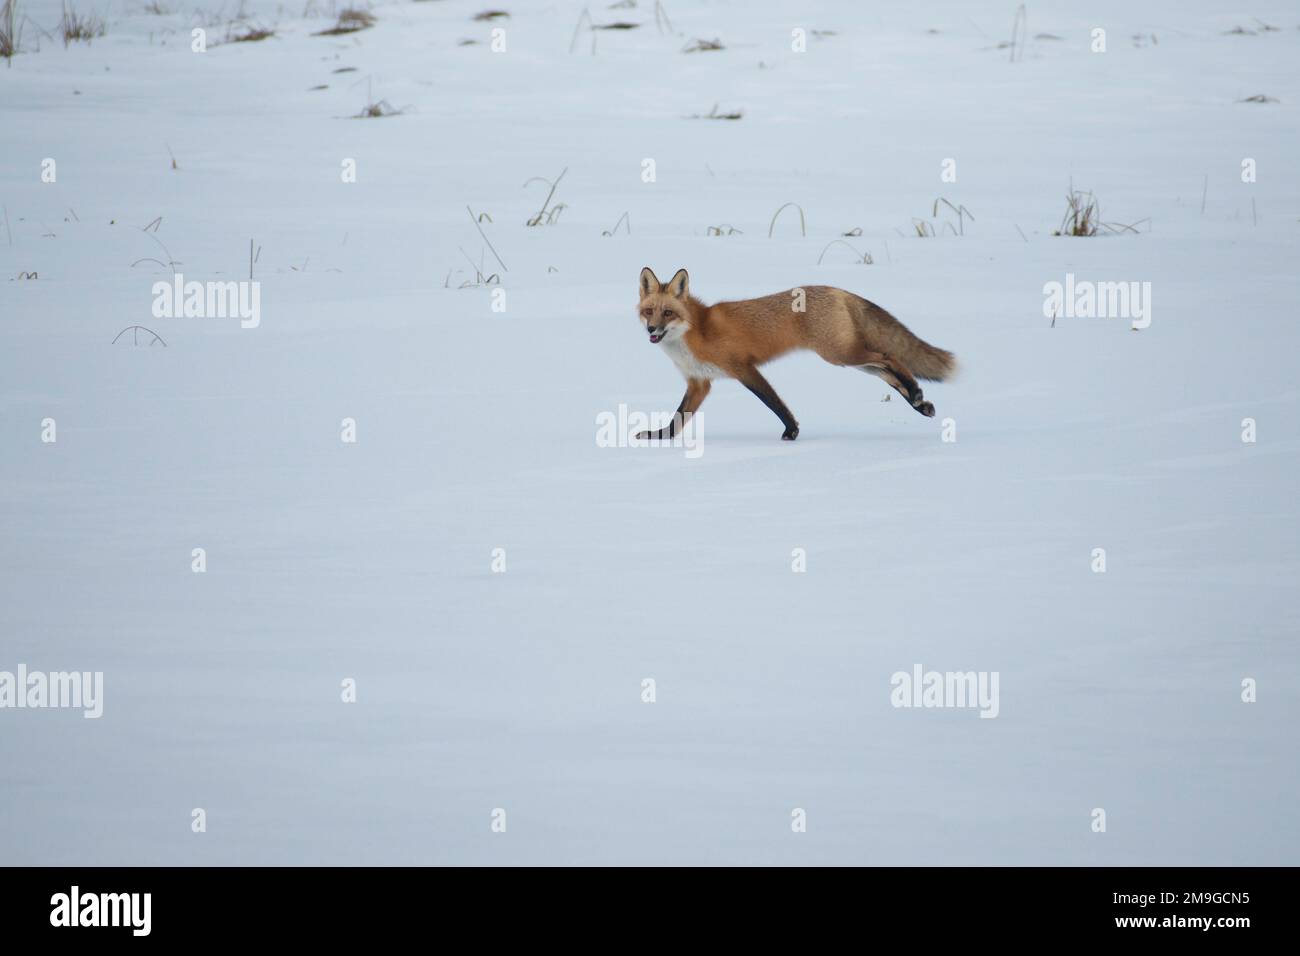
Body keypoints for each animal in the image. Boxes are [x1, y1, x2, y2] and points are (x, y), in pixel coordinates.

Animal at [637, 267, 956, 442]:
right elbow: (677, 419)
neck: (695, 332)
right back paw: (919, 402)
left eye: (668, 313)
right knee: (887, 372)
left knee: (890, 357)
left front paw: (791, 432)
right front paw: (659, 437)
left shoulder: (744, 368)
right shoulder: (699, 383)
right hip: (848, 358)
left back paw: (916, 394)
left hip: (841, 354)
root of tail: (838, 289)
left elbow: (774, 403)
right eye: (649, 311)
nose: (652, 329)